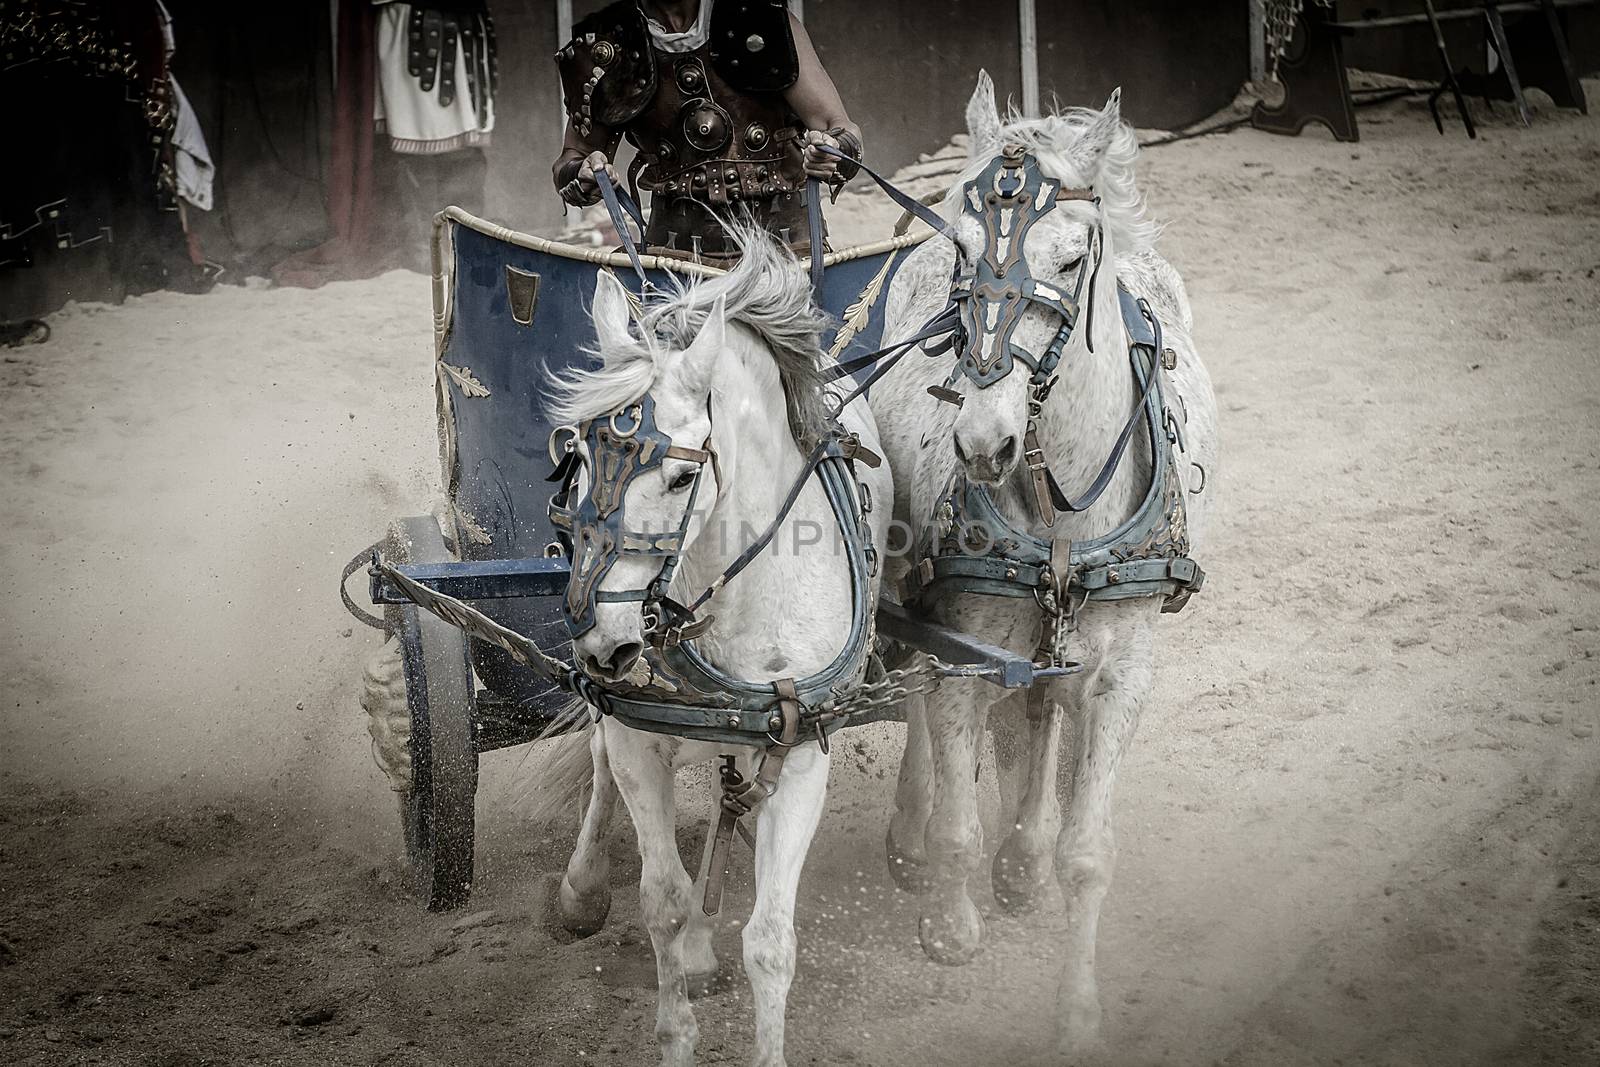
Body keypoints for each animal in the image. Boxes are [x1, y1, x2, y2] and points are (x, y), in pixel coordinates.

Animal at [540, 238, 889, 1067]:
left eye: (681, 475)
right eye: (577, 458)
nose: (603, 640)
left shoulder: (803, 750)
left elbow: (769, 937)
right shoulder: (635, 736)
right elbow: (660, 903)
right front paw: (676, 1022)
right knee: (599, 765)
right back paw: (584, 890)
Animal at [870, 77, 1216, 1062]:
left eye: (1070, 259)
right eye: (962, 245)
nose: (983, 440)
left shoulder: (1124, 669)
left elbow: (1087, 852)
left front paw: (1077, 1013)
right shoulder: (959, 646)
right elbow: (956, 814)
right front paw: (950, 926)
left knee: (1041, 713)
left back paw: (1021, 859)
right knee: (930, 706)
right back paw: (918, 834)